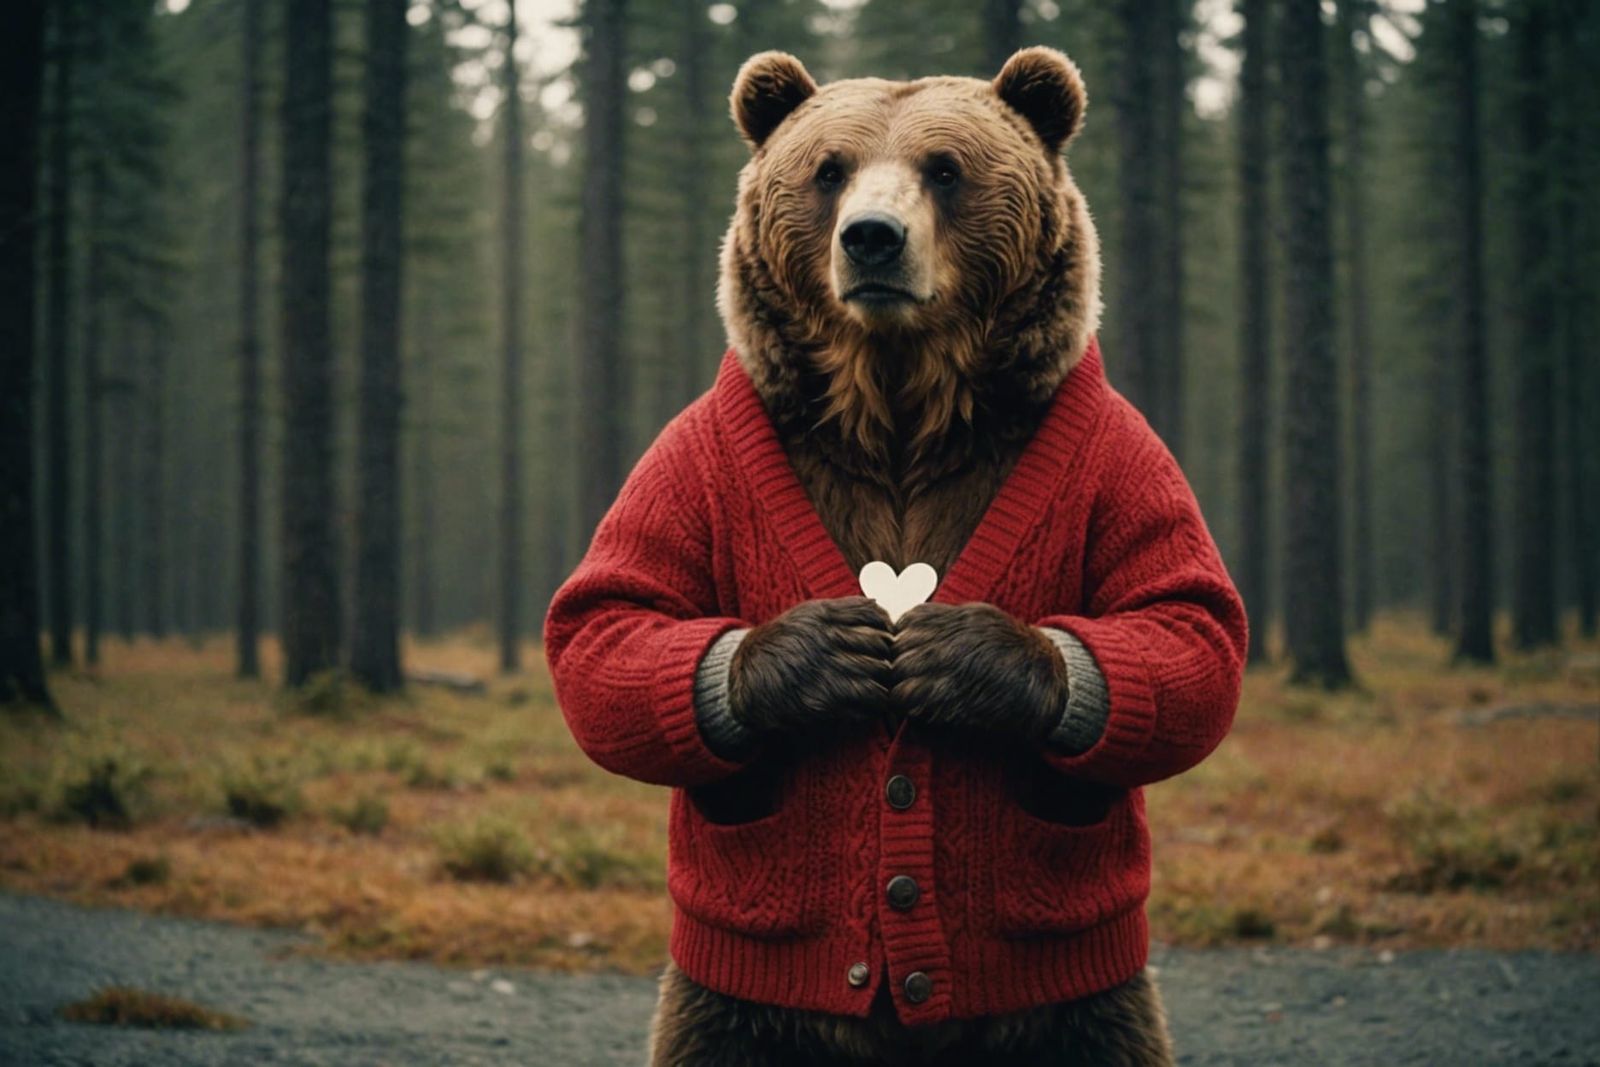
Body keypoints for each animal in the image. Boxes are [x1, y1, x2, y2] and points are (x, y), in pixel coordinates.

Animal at [543, 46, 1247, 1067]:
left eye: (945, 168)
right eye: (828, 168)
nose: (872, 239)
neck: (900, 400)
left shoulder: (1114, 451)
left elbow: (1182, 624)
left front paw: (955, 653)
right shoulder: (703, 451)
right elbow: (614, 623)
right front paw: (825, 651)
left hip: (1077, 1000)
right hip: (736, 1006)